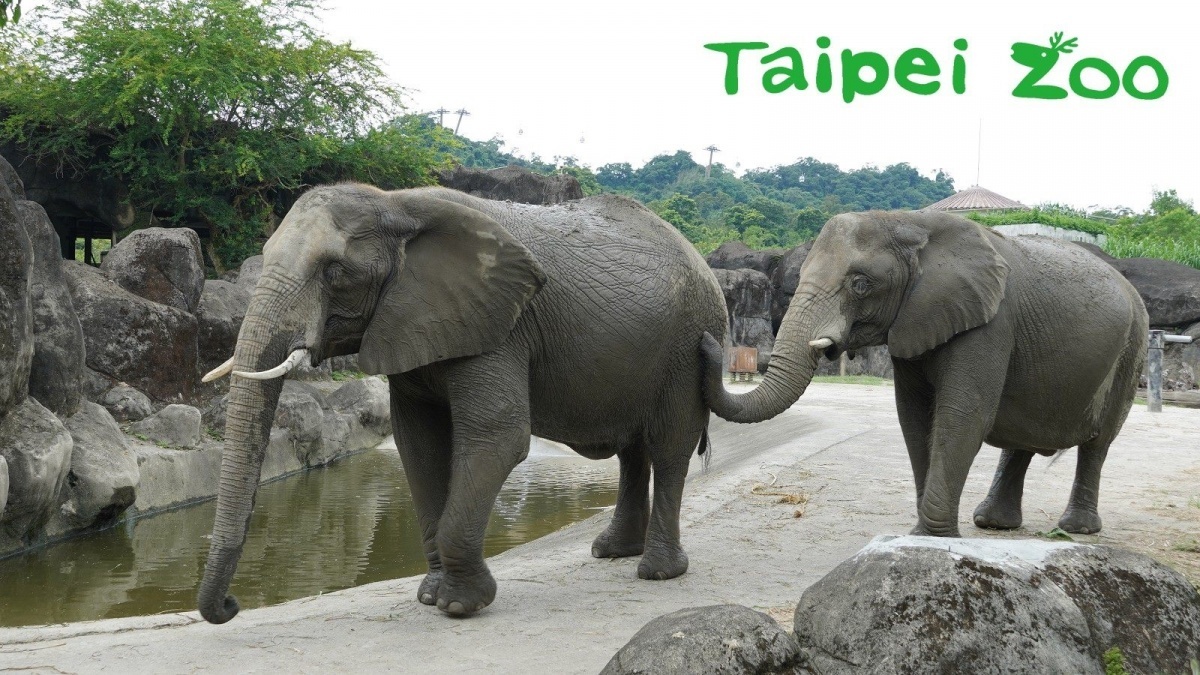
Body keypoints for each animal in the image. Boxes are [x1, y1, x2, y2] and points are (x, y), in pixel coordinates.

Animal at [197, 184, 727, 622]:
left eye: (334, 272)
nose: (231, 605)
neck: (395, 204)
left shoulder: (499, 326)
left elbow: (499, 436)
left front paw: (459, 606)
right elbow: (418, 443)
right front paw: (431, 596)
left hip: (689, 346)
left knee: (668, 448)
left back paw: (657, 571)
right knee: (633, 451)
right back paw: (612, 552)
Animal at [701, 210, 1148, 537]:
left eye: (860, 284)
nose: (707, 341)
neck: (912, 223)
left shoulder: (990, 323)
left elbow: (962, 415)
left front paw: (934, 538)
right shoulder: (915, 321)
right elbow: (915, 417)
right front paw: (922, 536)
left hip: (1134, 347)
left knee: (1098, 443)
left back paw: (1077, 529)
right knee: (1022, 436)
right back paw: (992, 523)